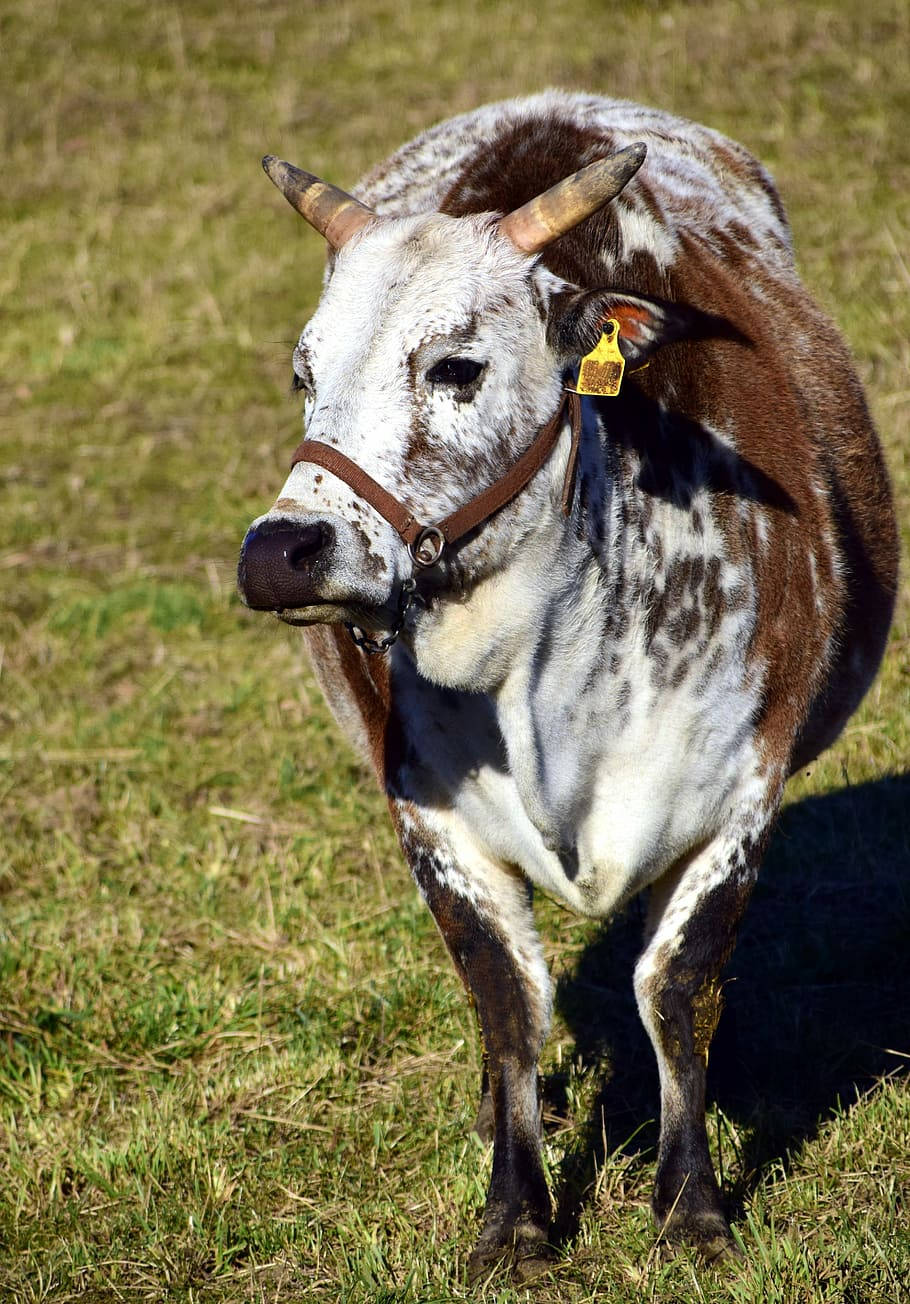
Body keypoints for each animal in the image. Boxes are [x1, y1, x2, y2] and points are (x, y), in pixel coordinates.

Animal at [237, 94, 896, 1283]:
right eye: (306, 375)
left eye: (455, 367)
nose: (279, 553)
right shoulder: (429, 818)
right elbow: (506, 999)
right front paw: (515, 1213)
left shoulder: (741, 794)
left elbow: (675, 987)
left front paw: (690, 1206)